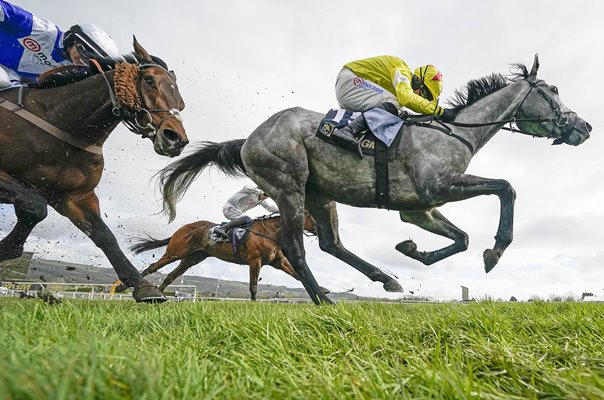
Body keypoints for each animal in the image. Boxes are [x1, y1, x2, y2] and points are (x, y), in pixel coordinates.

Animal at [0, 37, 189, 302]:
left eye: (181, 103)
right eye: (150, 81)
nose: (176, 140)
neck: (63, 123)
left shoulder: (75, 197)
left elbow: (105, 236)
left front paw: (143, 286)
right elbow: (34, 206)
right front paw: (8, 248)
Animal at [130, 212, 318, 300]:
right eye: (309, 214)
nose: (317, 228)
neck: (269, 232)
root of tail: (182, 228)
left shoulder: (278, 261)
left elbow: (297, 275)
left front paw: (320, 290)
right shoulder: (255, 260)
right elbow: (253, 286)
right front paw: (254, 304)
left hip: (191, 259)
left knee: (170, 276)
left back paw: (157, 295)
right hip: (175, 252)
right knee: (152, 267)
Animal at [158, 54, 592, 304]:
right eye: (553, 90)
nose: (584, 127)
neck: (455, 132)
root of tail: (249, 139)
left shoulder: (420, 208)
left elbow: (462, 238)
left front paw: (412, 250)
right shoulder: (440, 186)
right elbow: (506, 188)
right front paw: (496, 251)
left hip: (321, 195)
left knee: (331, 244)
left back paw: (385, 280)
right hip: (288, 187)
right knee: (296, 248)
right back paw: (326, 301)